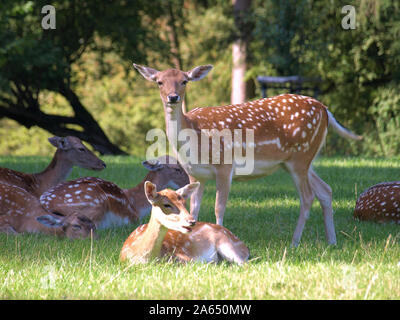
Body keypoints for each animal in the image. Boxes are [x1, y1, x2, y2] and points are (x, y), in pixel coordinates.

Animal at [39, 155, 190, 228]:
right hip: (96, 203)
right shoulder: (132, 219)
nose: (188, 181)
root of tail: (45, 203)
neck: (135, 204)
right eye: (177, 169)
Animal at [134, 63, 362, 246]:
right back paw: (332, 241)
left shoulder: (224, 165)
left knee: (307, 197)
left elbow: (219, 208)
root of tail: (325, 109)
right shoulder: (196, 174)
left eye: (184, 81)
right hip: (301, 161)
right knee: (325, 190)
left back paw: (295, 242)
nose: (173, 97)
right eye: (159, 82)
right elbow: (194, 209)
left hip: (301, 157)